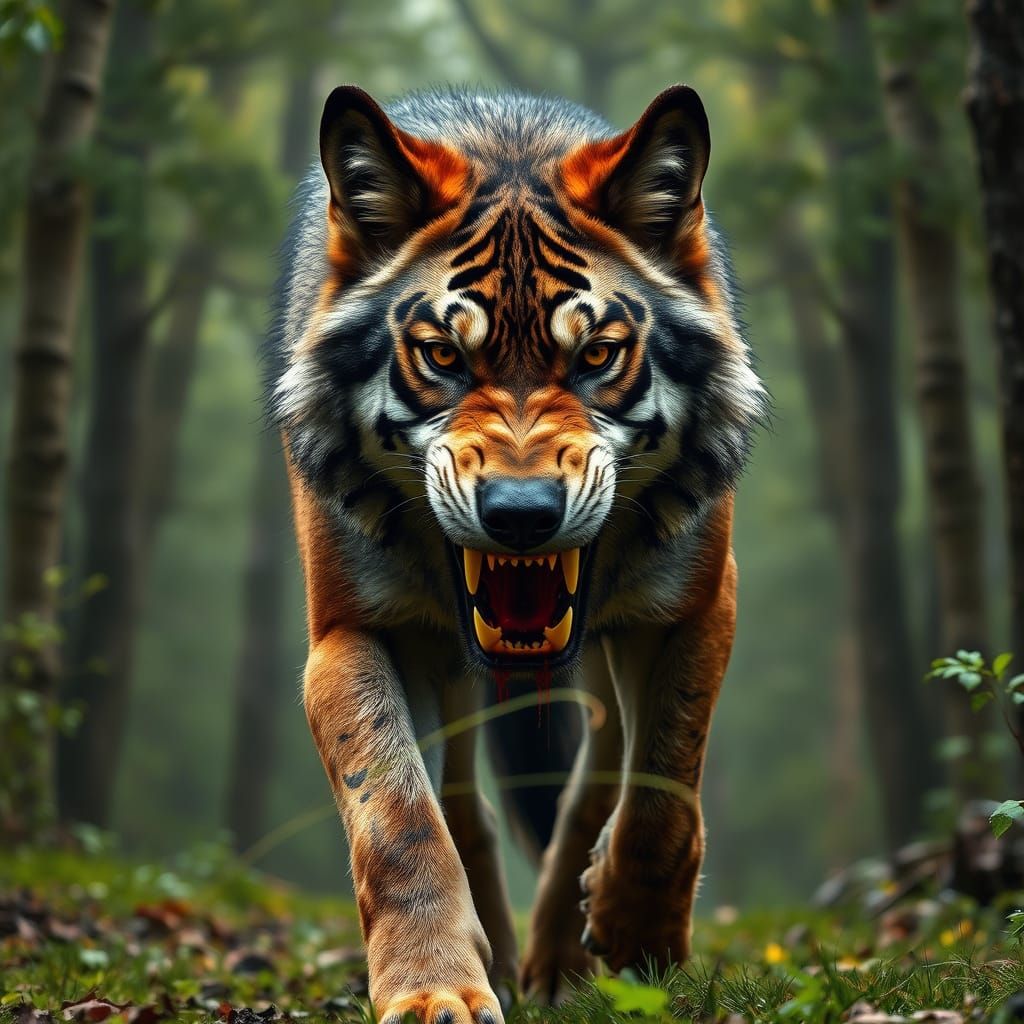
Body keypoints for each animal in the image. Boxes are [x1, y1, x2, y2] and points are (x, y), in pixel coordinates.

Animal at [266, 84, 765, 1023]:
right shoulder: (349, 634)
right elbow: (401, 821)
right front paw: (433, 986)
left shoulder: (693, 605)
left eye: (598, 354)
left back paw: (568, 957)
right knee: (465, 807)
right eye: (442, 355)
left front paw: (640, 942)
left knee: (596, 778)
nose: (523, 515)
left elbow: (661, 789)